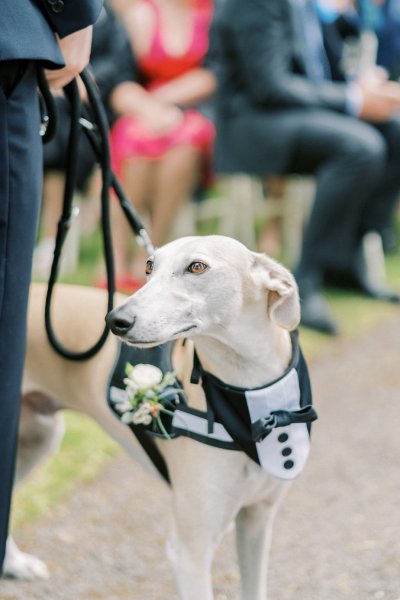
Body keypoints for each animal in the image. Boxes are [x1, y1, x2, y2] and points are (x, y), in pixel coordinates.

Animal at [4, 236, 314, 600]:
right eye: (150, 266)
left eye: (197, 266)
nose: (115, 320)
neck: (249, 398)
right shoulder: (190, 550)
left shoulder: (257, 520)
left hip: (37, 438)